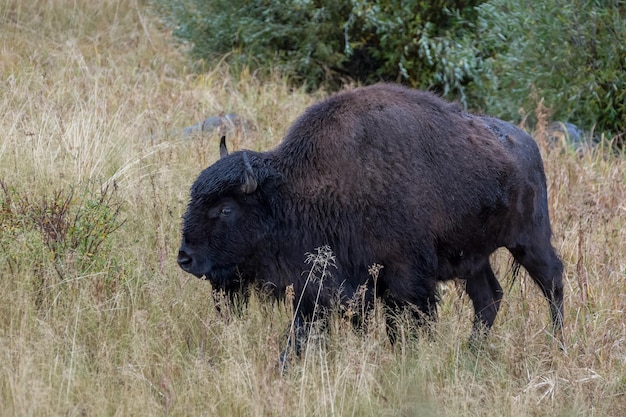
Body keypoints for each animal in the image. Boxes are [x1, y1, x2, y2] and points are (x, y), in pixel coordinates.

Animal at [177, 83, 564, 346]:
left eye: (226, 208)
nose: (185, 258)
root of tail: (528, 145)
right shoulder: (323, 282)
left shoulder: (404, 278)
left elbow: (406, 323)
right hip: (475, 258)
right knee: (489, 298)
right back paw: (473, 352)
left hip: (529, 240)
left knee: (553, 282)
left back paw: (557, 343)